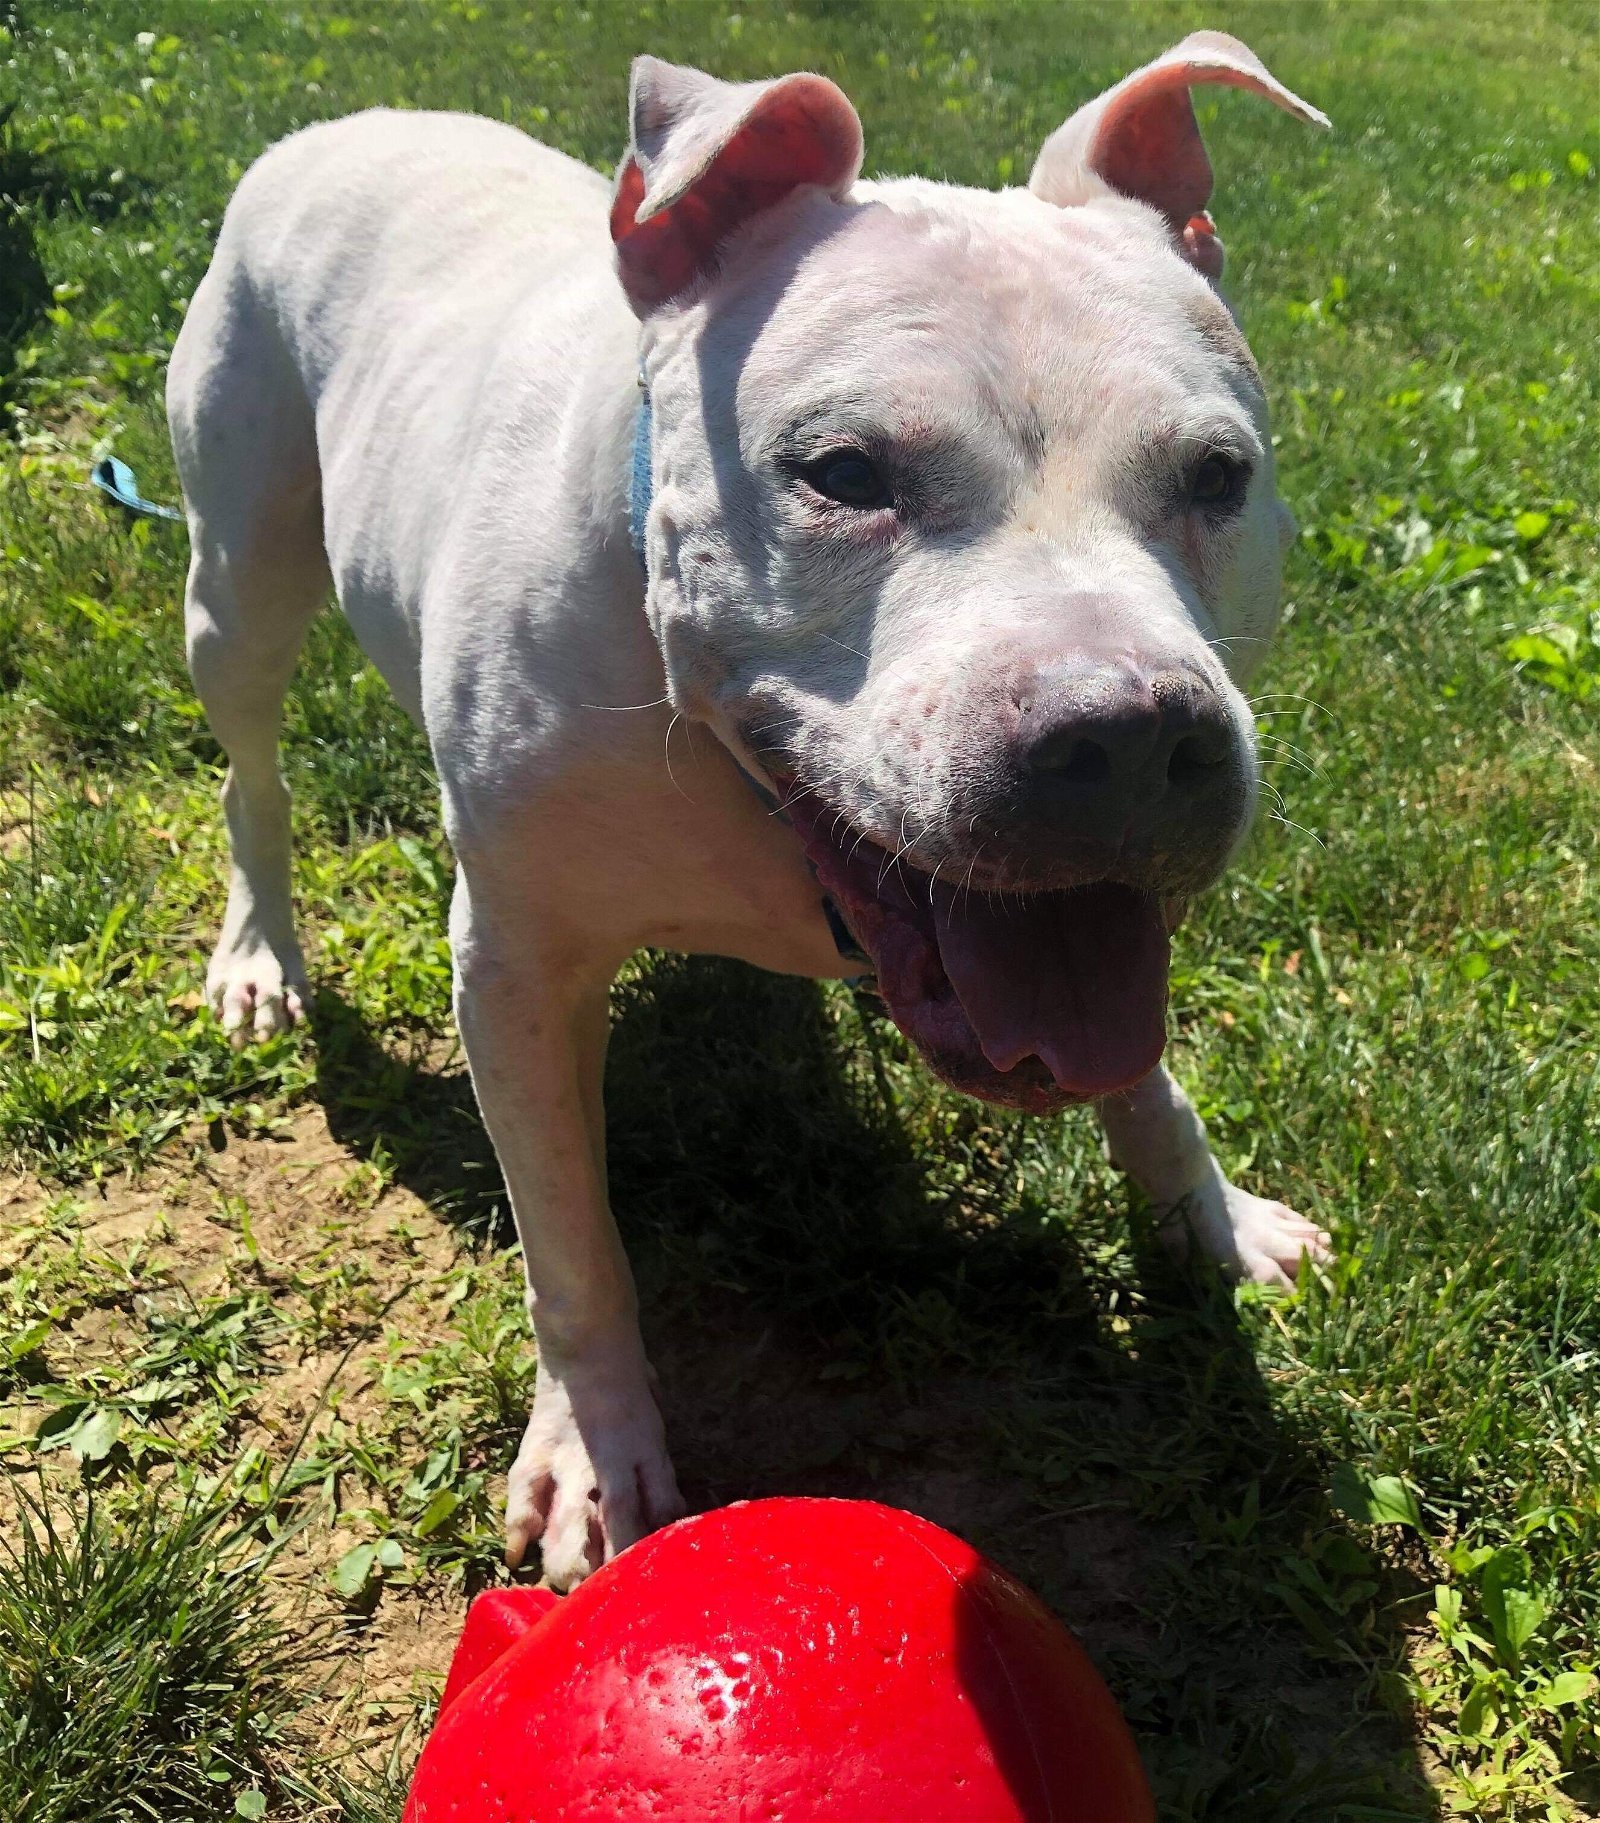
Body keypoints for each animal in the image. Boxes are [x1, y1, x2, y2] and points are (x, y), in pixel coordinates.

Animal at [169, 35, 1333, 1589]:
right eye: (841, 472)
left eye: (1218, 476)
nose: (1135, 735)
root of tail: (352, 120)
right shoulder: (515, 968)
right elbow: (573, 1242)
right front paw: (595, 1445)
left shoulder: (1093, 927)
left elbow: (1137, 1064)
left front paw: (1209, 1218)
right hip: (236, 580)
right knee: (252, 770)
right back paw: (259, 952)